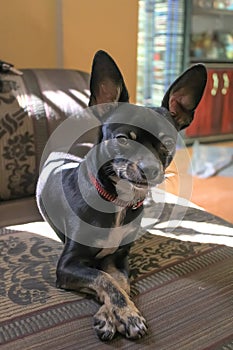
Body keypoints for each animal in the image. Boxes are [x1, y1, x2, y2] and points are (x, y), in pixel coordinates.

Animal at [36, 50, 208, 340]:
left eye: (168, 143)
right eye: (123, 139)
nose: (151, 169)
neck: (117, 202)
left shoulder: (118, 259)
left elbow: (120, 282)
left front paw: (119, 313)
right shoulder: (68, 264)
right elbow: (103, 279)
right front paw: (119, 314)